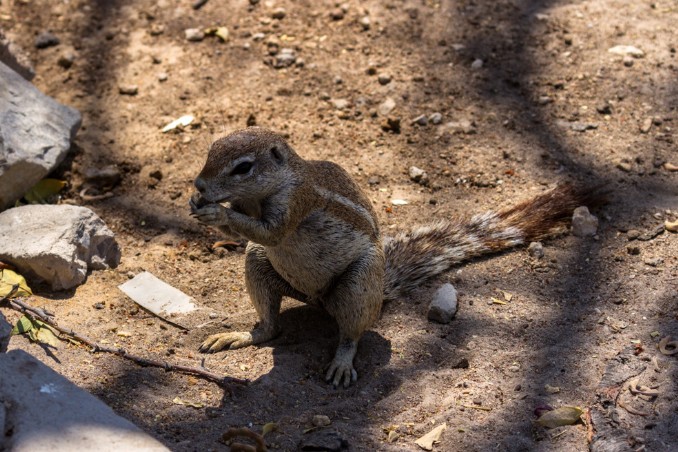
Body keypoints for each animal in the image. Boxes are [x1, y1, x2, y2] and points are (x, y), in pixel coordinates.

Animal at [190, 128, 596, 388]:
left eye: (243, 167)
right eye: (209, 150)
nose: (199, 185)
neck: (268, 190)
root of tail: (317, 301)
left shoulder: (296, 201)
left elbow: (271, 232)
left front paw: (216, 212)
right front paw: (201, 205)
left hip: (358, 283)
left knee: (351, 334)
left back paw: (341, 363)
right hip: (259, 264)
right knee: (271, 327)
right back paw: (239, 335)